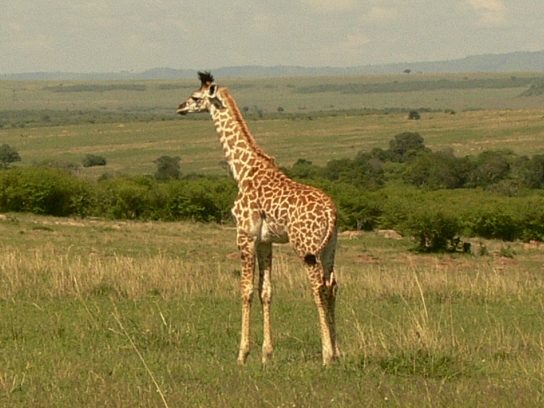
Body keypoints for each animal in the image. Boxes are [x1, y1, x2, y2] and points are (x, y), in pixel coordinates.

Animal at [177, 72, 339, 365]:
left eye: (195, 97)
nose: (180, 107)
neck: (243, 170)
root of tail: (331, 212)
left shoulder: (245, 234)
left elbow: (246, 289)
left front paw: (242, 353)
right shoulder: (265, 241)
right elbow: (266, 291)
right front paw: (267, 354)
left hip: (307, 247)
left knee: (319, 288)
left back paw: (327, 355)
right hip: (329, 248)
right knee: (332, 286)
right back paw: (339, 352)